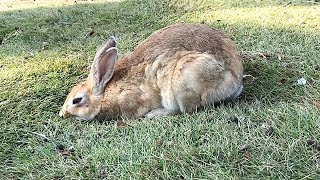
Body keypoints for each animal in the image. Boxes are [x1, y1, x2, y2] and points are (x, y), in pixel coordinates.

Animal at [58, 22, 242, 121]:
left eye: (76, 100)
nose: (62, 114)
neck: (104, 94)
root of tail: (235, 80)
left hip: (184, 81)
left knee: (185, 109)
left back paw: (155, 114)